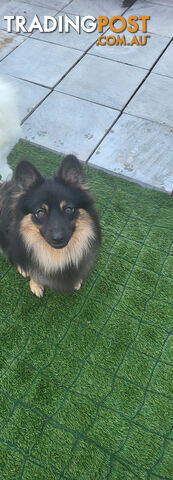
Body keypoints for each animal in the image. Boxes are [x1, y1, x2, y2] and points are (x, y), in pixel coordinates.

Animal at [0, 156, 100, 296]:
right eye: (40, 212)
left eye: (68, 209)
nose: (58, 238)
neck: (56, 255)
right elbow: (33, 269)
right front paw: (35, 284)